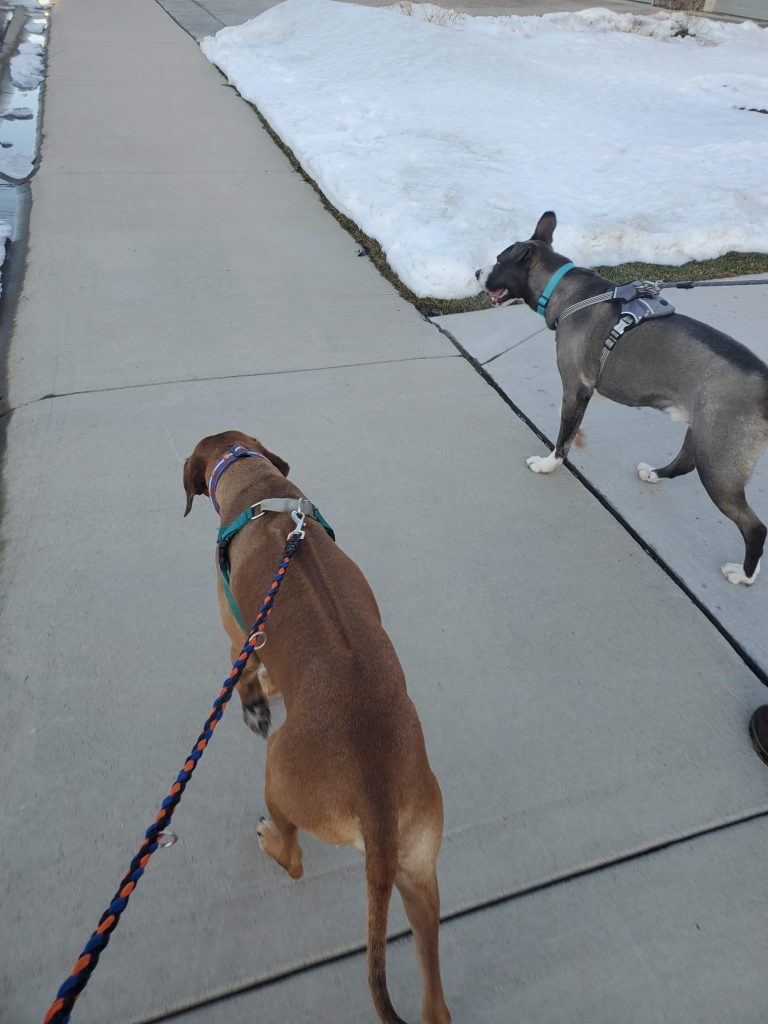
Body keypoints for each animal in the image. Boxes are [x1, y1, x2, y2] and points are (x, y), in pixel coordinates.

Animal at [182, 430, 450, 1024]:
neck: (256, 485)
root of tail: (376, 799)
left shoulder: (238, 631)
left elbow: (246, 675)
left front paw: (256, 700)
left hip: (278, 778)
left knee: (295, 859)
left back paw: (271, 841)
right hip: (420, 871)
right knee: (435, 1003)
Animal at [479, 209, 765, 585]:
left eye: (499, 261)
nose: (476, 272)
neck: (565, 291)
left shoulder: (576, 390)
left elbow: (563, 439)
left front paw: (547, 464)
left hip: (719, 463)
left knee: (755, 527)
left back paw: (744, 575)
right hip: (703, 435)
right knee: (683, 464)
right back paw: (654, 474)